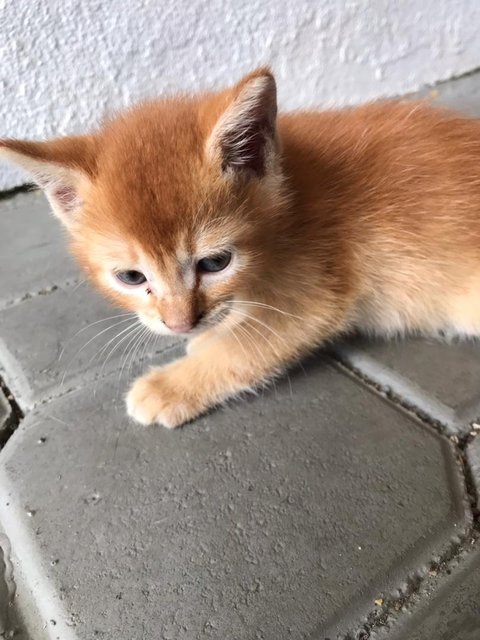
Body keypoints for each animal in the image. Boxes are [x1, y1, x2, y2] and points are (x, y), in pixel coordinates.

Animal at [0, 69, 480, 424]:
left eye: (215, 262)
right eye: (132, 277)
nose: (180, 325)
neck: (291, 202)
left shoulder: (313, 295)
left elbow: (245, 347)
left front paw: (170, 385)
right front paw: (205, 338)